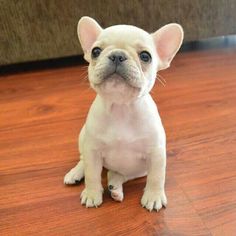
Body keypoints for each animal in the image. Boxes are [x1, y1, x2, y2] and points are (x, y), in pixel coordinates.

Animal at [64, 16, 184, 212]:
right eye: (95, 51)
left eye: (145, 56)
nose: (117, 55)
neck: (121, 108)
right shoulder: (93, 150)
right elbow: (92, 174)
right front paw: (92, 193)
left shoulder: (156, 153)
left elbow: (157, 177)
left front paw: (154, 196)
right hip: (83, 139)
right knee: (84, 161)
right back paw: (75, 173)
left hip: (137, 170)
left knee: (117, 175)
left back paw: (116, 189)